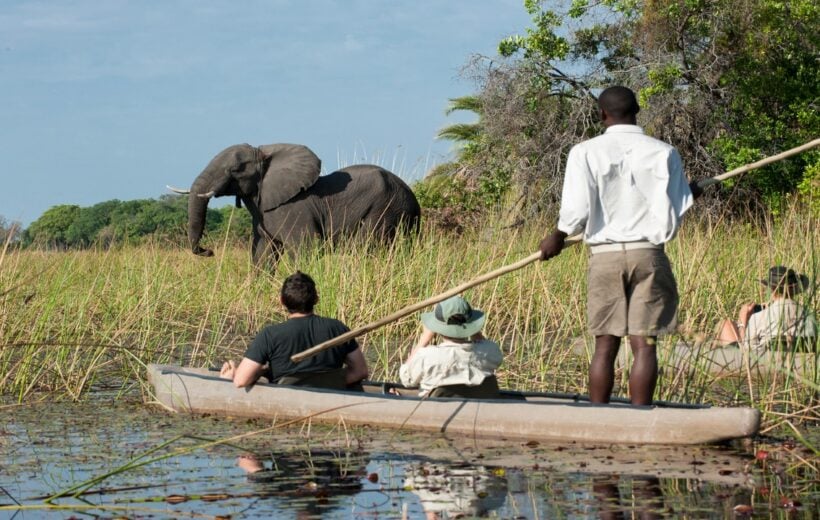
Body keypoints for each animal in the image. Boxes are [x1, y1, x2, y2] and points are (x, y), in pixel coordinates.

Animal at [171, 143, 420, 262]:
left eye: (235, 169)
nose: (209, 251)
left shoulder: (293, 212)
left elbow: (306, 250)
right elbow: (262, 254)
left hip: (386, 209)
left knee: (367, 247)